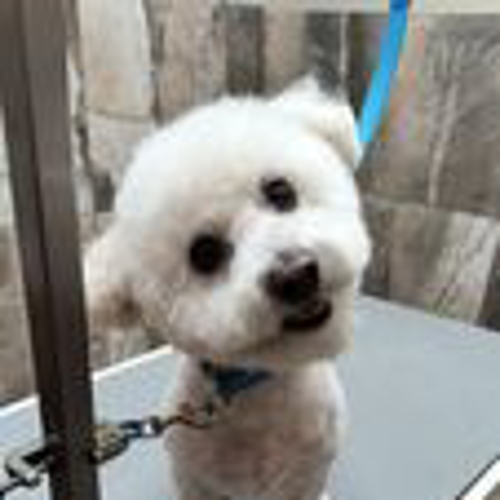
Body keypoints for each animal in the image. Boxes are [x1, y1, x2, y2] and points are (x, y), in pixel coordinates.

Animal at [85, 77, 371, 500]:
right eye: (204, 253)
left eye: (281, 191)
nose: (296, 274)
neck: (254, 392)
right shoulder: (197, 483)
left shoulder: (308, 477)